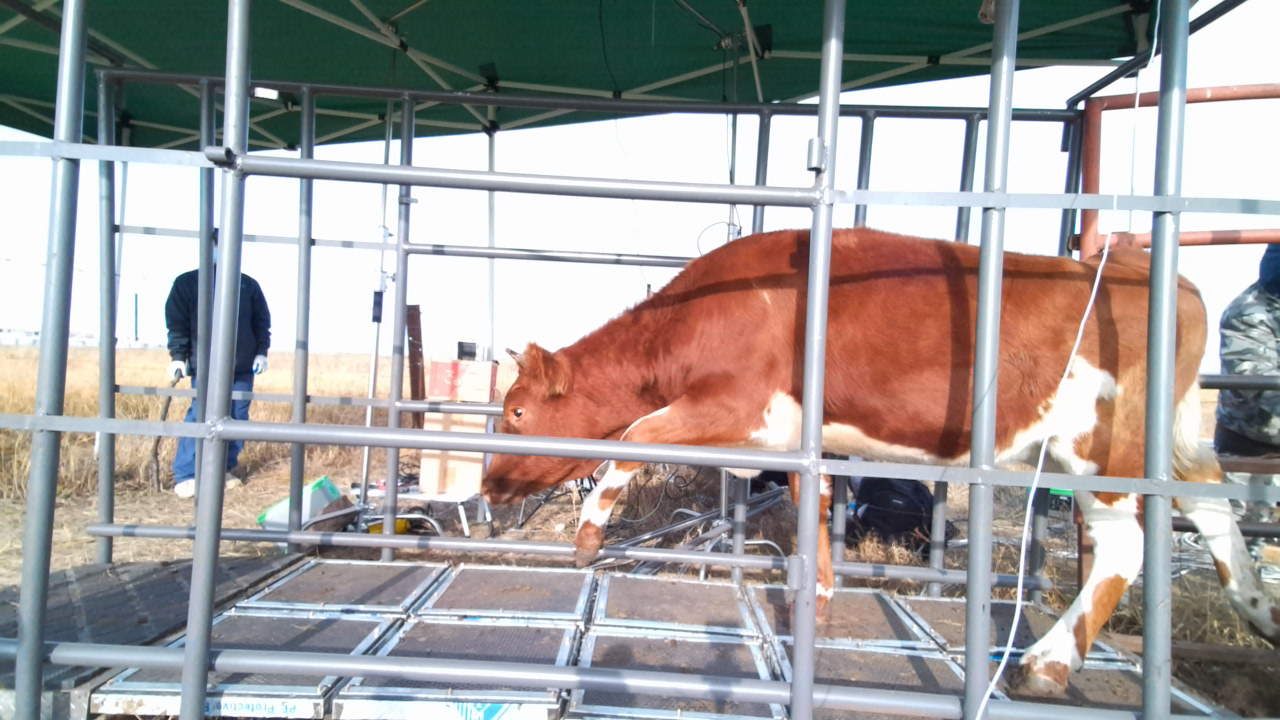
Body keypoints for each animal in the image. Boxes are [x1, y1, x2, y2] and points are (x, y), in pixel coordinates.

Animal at [480, 227, 1279, 695]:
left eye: (516, 411)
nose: (488, 485)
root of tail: (1162, 273)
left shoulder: (743, 405)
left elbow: (636, 434)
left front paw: (588, 532)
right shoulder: (790, 435)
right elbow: (813, 500)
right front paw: (822, 599)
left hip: (1098, 442)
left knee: (1126, 542)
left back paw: (1047, 666)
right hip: (1168, 435)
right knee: (1211, 495)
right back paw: (1258, 608)